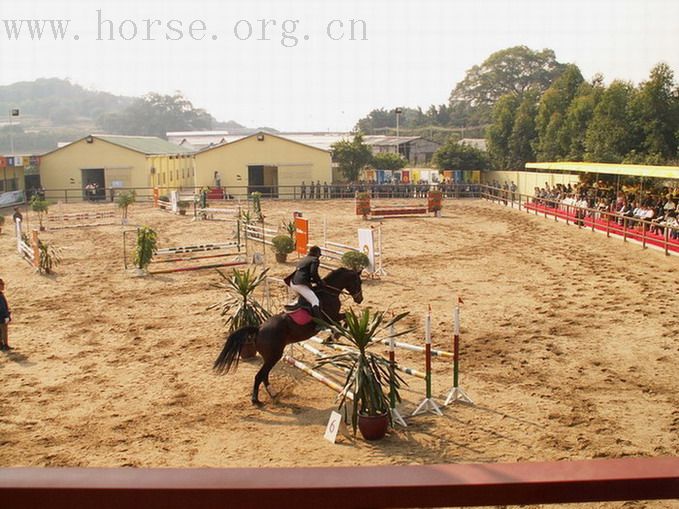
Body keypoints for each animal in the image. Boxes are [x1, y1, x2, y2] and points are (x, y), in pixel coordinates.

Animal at [214, 266, 364, 404]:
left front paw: (333, 336)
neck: (329, 292)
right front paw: (334, 335)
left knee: (264, 375)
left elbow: (346, 317)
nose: (360, 299)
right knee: (259, 375)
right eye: (358, 282)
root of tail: (259, 328)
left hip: (270, 357)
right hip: (274, 356)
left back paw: (272, 393)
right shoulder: (330, 318)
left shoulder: (332, 318)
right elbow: (346, 316)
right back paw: (256, 400)